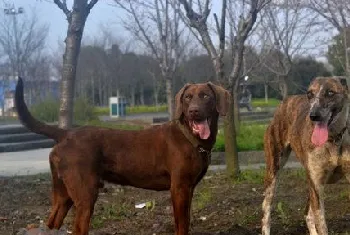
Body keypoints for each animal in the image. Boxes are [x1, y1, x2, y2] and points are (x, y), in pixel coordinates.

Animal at [14, 78, 230, 235]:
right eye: (187, 97)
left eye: (205, 96)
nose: (193, 111)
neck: (191, 138)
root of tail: (66, 133)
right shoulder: (179, 188)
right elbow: (182, 225)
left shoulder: (189, 188)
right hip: (85, 195)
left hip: (63, 193)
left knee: (52, 221)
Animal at [262, 76, 350, 234]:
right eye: (310, 94)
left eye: (330, 93)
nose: (313, 116)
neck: (334, 139)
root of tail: (285, 101)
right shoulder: (316, 184)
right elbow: (322, 225)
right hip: (273, 173)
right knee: (266, 212)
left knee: (307, 214)